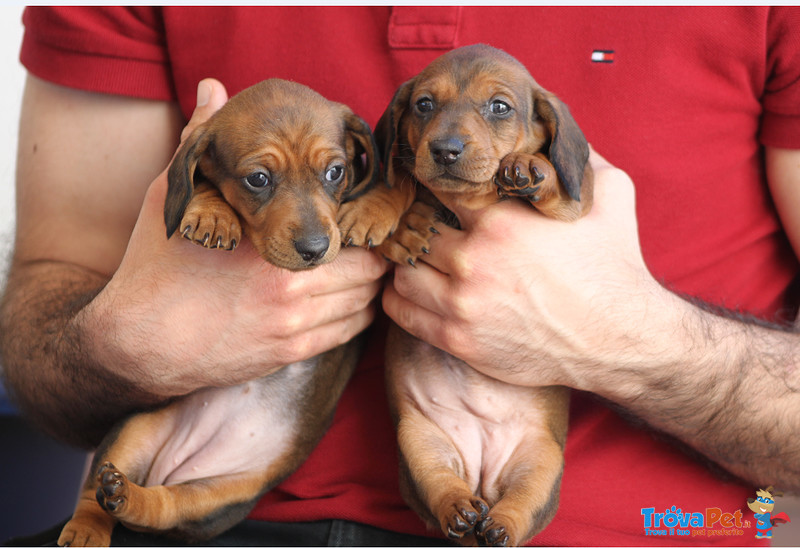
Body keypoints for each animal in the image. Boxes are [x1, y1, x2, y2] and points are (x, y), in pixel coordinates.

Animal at [57, 79, 380, 544]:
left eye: (335, 172)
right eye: (258, 179)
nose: (316, 249)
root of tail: (172, 467)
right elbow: (201, 181)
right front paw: (212, 213)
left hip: (221, 498)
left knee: (164, 509)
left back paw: (129, 498)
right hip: (134, 430)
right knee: (96, 495)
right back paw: (90, 525)